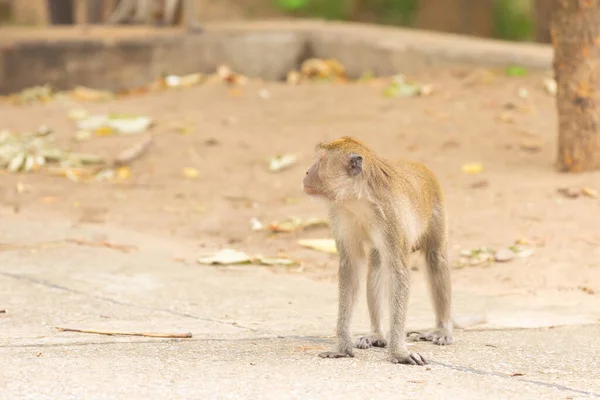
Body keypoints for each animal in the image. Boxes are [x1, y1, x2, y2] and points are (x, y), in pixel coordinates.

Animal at [302, 137, 452, 366]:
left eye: (321, 159)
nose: (307, 171)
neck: (359, 198)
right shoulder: (339, 212)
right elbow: (352, 266)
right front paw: (342, 348)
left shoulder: (391, 215)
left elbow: (398, 271)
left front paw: (399, 352)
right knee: (377, 263)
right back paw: (377, 334)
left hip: (437, 209)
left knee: (436, 259)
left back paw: (442, 329)